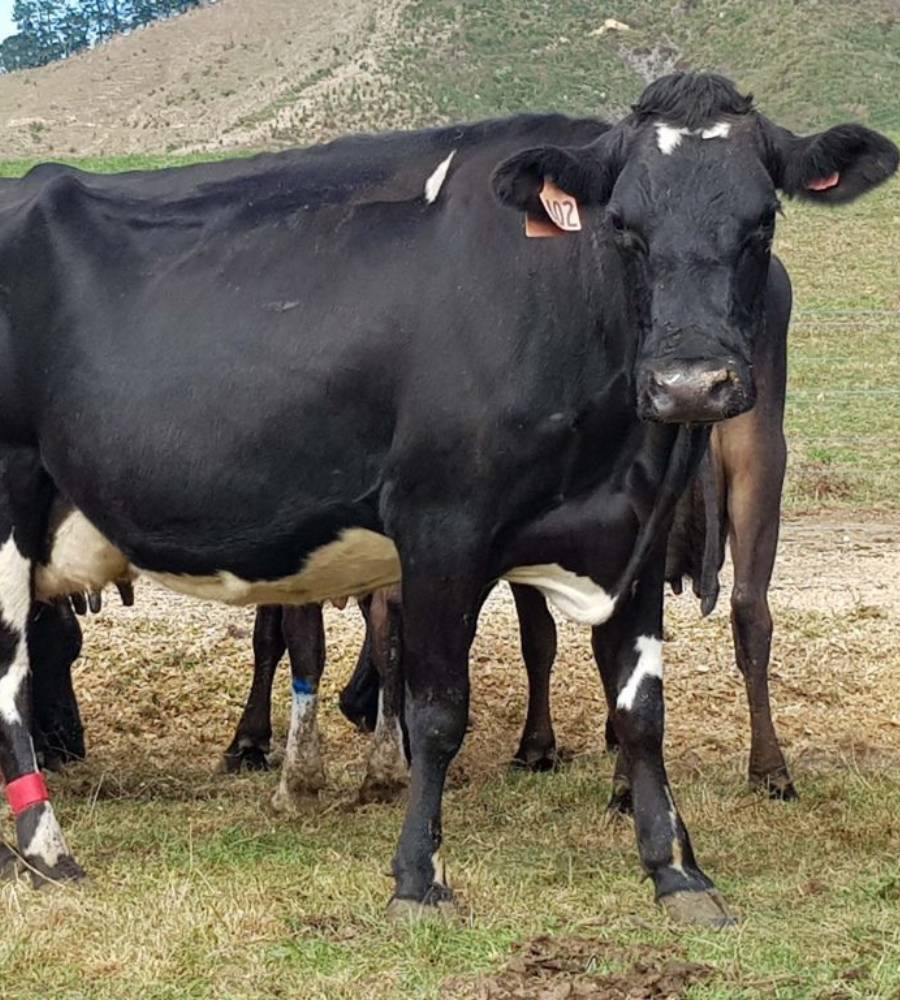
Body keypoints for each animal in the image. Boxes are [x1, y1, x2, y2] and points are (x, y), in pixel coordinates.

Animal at [0, 73, 894, 927]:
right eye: (624, 227)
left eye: (762, 224)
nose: (689, 383)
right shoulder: (441, 526)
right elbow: (436, 709)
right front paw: (416, 878)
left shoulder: (634, 535)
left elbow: (641, 710)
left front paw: (676, 872)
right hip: (9, 501)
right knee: (9, 675)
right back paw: (46, 849)